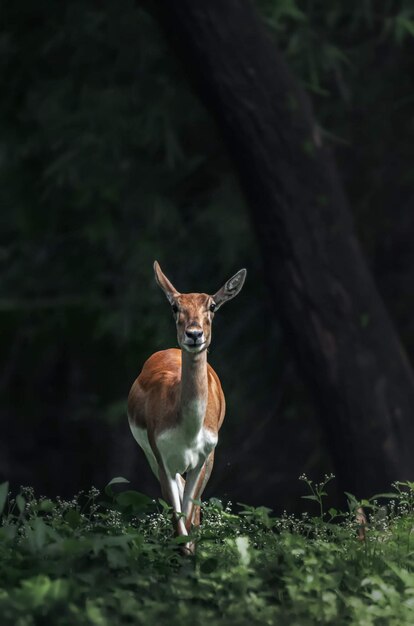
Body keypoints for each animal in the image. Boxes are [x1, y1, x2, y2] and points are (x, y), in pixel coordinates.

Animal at [127, 260, 246, 552]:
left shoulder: (202, 460)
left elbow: (189, 520)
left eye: (212, 306)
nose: (194, 334)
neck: (188, 430)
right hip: (150, 456)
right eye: (175, 306)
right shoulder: (163, 460)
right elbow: (179, 524)